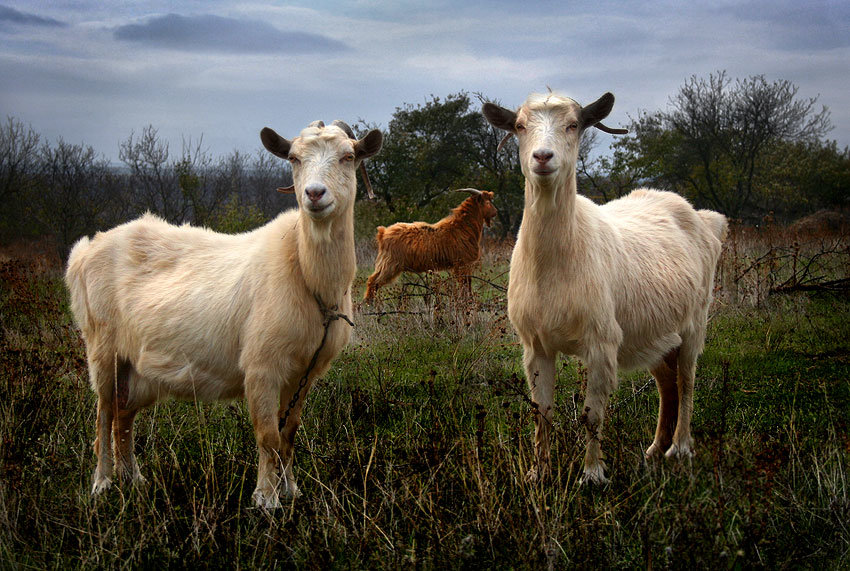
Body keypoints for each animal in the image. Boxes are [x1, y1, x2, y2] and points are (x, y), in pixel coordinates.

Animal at [65, 118, 380, 508]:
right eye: (293, 158)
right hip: (101, 345)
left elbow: (289, 434)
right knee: (104, 414)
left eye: (348, 156)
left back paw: (134, 480)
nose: (315, 194)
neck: (308, 275)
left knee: (123, 416)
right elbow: (268, 435)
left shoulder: (305, 371)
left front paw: (291, 491)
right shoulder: (261, 366)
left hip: (136, 367)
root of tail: (84, 252)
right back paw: (102, 484)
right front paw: (266, 500)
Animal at [362, 189, 494, 304]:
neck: (462, 226)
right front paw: (468, 302)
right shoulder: (462, 263)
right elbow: (466, 283)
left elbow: (466, 283)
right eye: (488, 202)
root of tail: (383, 232)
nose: (495, 212)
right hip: (390, 264)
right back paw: (369, 304)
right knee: (373, 281)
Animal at [480, 91, 724, 484]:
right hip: (653, 332)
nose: (543, 157)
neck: (556, 262)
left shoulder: (601, 341)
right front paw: (538, 473)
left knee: (687, 379)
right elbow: (542, 410)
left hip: (695, 320)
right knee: (666, 382)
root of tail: (707, 219)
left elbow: (592, 413)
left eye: (573, 125)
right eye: (519, 126)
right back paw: (654, 451)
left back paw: (680, 449)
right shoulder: (536, 344)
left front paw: (593, 474)